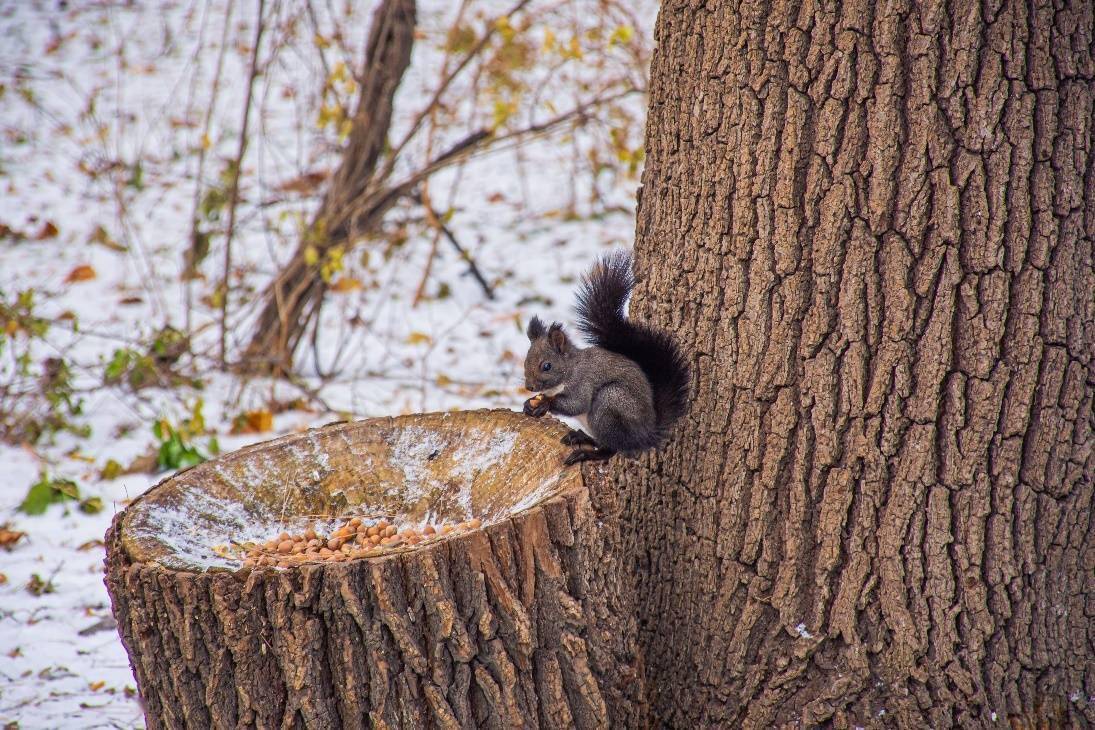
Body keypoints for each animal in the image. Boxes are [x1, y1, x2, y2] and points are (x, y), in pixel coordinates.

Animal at [519, 251, 687, 466]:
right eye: (525, 362)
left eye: (547, 366)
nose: (529, 387)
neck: (568, 371)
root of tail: (645, 435)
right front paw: (529, 403)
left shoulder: (583, 382)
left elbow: (577, 404)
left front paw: (545, 404)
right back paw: (580, 436)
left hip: (609, 404)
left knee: (611, 449)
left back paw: (586, 453)